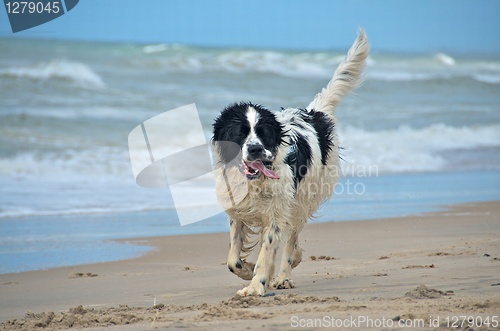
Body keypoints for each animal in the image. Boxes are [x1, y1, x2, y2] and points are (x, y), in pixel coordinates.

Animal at [209, 29, 370, 296]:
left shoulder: (277, 211)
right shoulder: (238, 209)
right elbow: (233, 259)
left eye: (263, 133)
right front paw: (247, 270)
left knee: (292, 238)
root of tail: (314, 114)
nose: (255, 149)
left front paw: (256, 285)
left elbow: (268, 249)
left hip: (302, 200)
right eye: (239, 133)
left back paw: (285, 273)